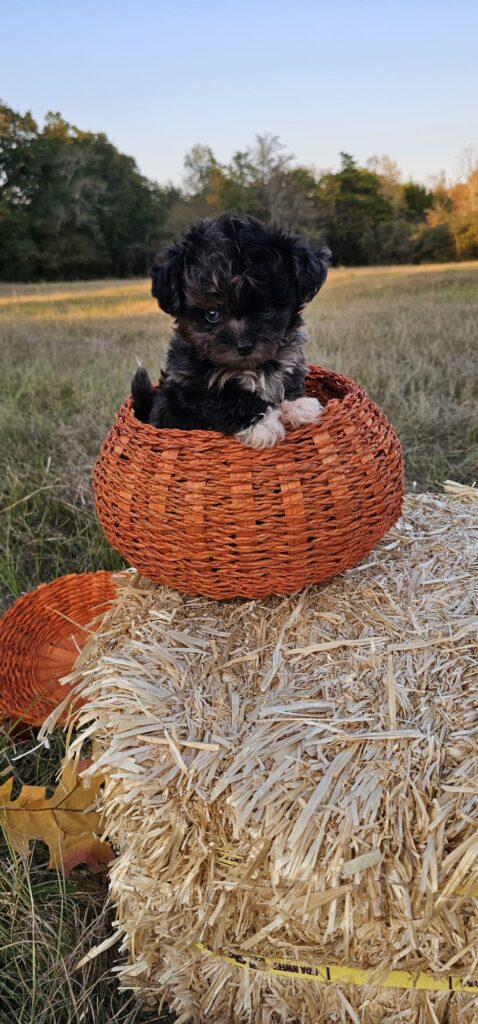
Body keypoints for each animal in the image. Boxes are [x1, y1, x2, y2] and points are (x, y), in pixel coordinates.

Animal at [133, 214, 331, 446]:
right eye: (212, 314)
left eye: (267, 310)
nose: (244, 346)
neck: (250, 368)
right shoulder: (192, 383)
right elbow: (228, 398)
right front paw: (261, 424)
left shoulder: (290, 358)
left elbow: (287, 379)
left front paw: (297, 405)